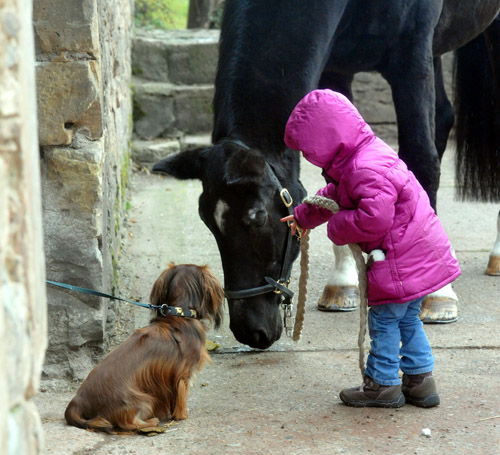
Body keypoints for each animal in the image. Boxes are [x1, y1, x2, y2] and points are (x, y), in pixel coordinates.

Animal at [154, 0, 500, 350]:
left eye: (258, 217)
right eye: (206, 221)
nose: (250, 331)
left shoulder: (411, 56)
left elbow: (421, 160)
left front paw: (438, 293)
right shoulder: (336, 68)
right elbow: (335, 174)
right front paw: (344, 283)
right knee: (443, 117)